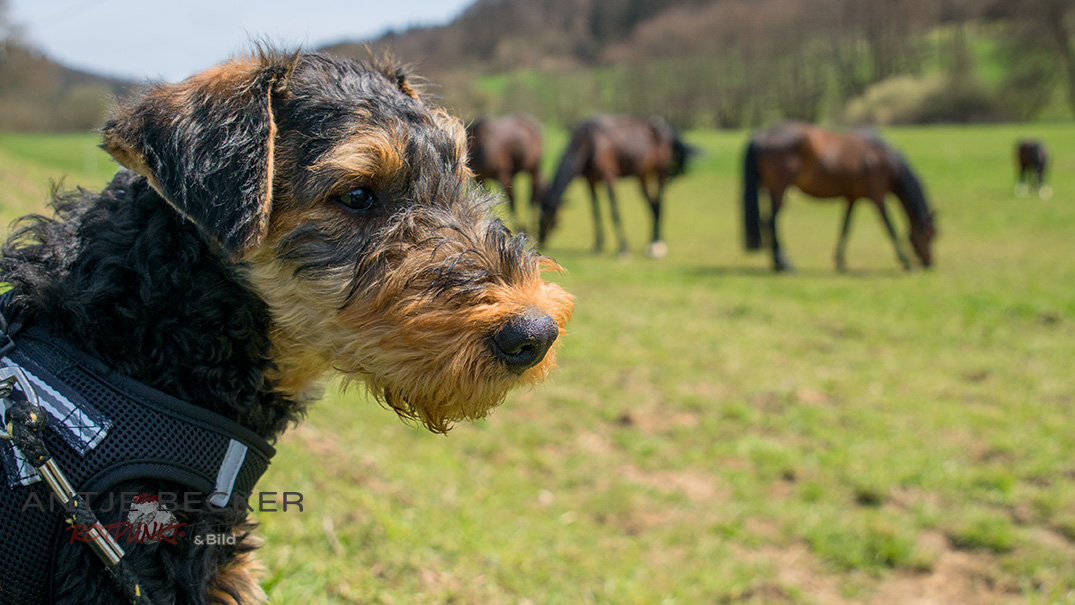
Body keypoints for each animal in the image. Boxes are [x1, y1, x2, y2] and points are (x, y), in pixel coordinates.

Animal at [537, 114, 696, 257]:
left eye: (550, 220)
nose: (541, 240)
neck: (590, 143)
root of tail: (667, 129)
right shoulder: (591, 182)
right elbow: (595, 213)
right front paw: (597, 246)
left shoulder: (609, 179)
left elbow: (614, 212)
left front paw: (623, 249)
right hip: (642, 177)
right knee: (653, 206)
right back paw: (651, 243)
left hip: (660, 173)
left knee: (660, 204)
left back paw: (658, 245)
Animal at [743, 121, 937, 272]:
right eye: (931, 234)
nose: (930, 263)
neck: (882, 158)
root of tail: (761, 134)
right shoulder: (877, 196)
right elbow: (889, 227)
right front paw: (906, 262)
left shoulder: (851, 198)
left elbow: (845, 227)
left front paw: (840, 261)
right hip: (779, 191)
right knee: (770, 222)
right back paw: (783, 263)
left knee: (767, 222)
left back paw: (778, 262)